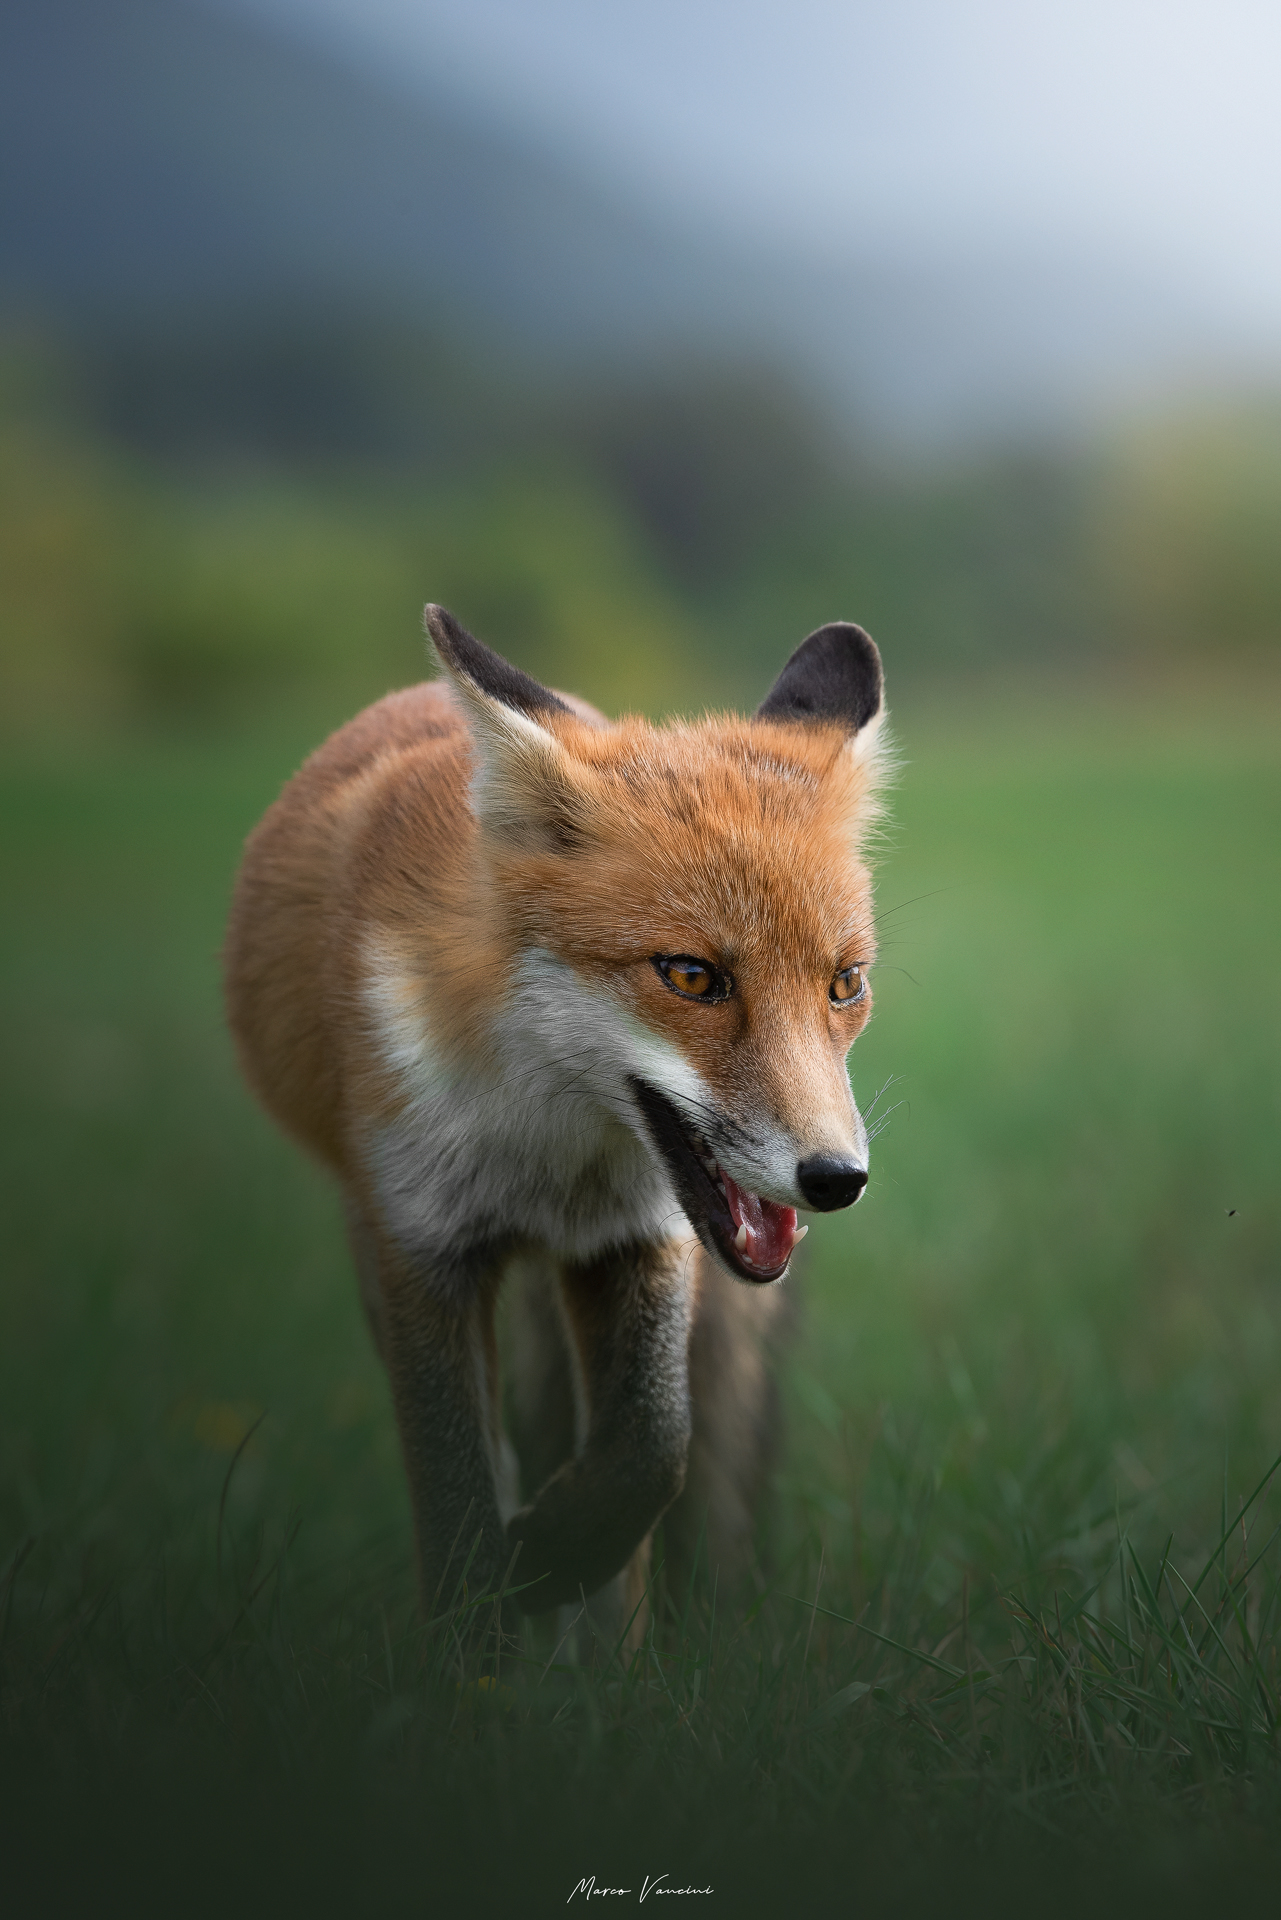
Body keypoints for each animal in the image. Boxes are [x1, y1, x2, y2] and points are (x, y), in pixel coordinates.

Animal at [224, 607, 888, 1647]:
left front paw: (555, 1570)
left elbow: (652, 1455)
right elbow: (456, 1494)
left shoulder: (635, 1242)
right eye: (691, 976)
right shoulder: (420, 1247)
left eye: (844, 983)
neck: (543, 1150)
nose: (835, 1178)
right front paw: (482, 1637)